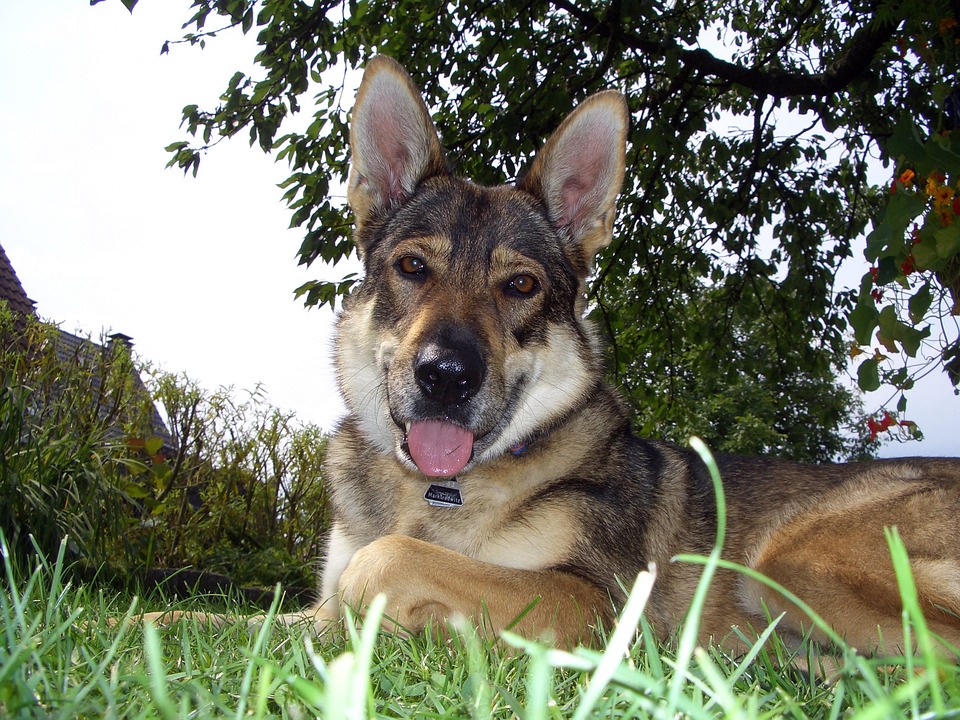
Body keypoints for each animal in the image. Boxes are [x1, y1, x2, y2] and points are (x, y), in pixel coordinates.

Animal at [144, 57, 960, 660]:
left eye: (521, 285)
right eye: (412, 268)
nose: (445, 376)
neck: (442, 492)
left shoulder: (591, 597)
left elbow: (389, 563)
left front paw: (404, 625)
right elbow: (208, 620)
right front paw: (135, 624)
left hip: (790, 559)